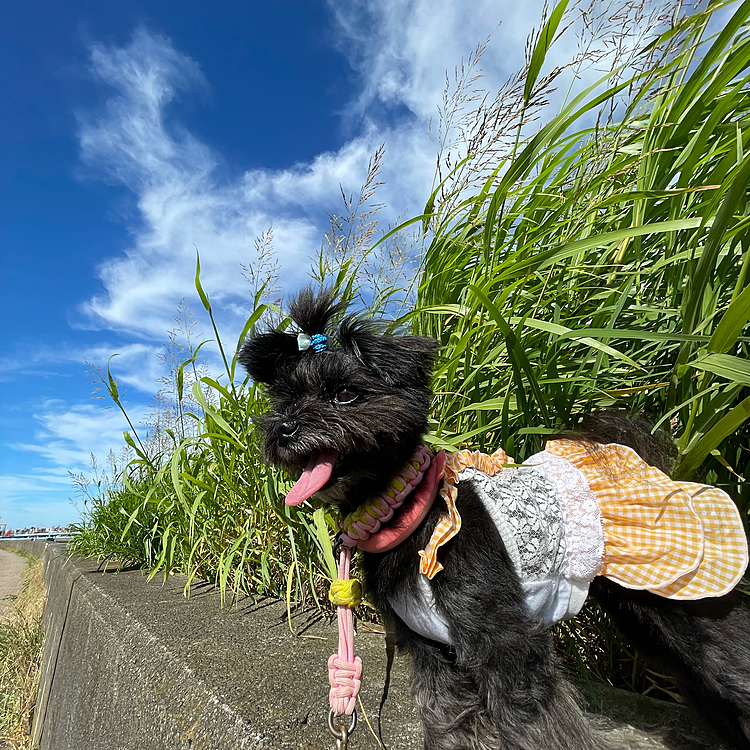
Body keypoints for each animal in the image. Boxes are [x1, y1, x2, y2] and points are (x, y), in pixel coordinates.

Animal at [239, 292, 750, 750]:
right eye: (284, 401)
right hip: (647, 619)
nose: (283, 429)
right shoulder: (432, 651)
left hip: (689, 606)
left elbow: (535, 726)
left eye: (345, 394)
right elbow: (447, 720)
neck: (412, 511)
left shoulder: (504, 643)